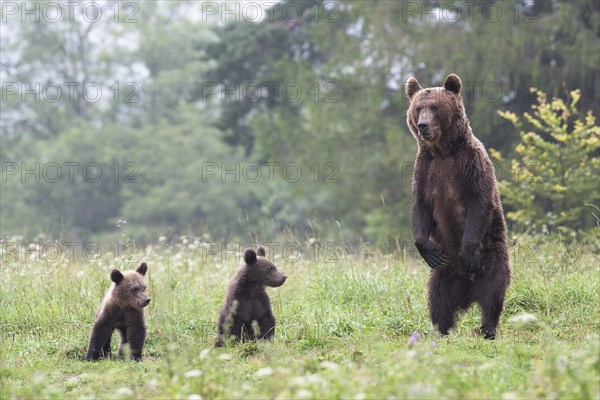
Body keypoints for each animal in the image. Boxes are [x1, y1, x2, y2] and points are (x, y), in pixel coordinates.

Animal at [406, 73, 508, 340]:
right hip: (443, 273)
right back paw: (441, 330)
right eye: (418, 108)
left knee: (494, 290)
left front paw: (468, 251)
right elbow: (420, 208)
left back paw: (488, 328)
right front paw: (427, 248)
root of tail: (467, 290)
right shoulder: (425, 171)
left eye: (435, 107)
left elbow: (478, 201)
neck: (443, 151)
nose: (423, 125)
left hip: (493, 255)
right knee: (438, 299)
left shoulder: (470, 164)